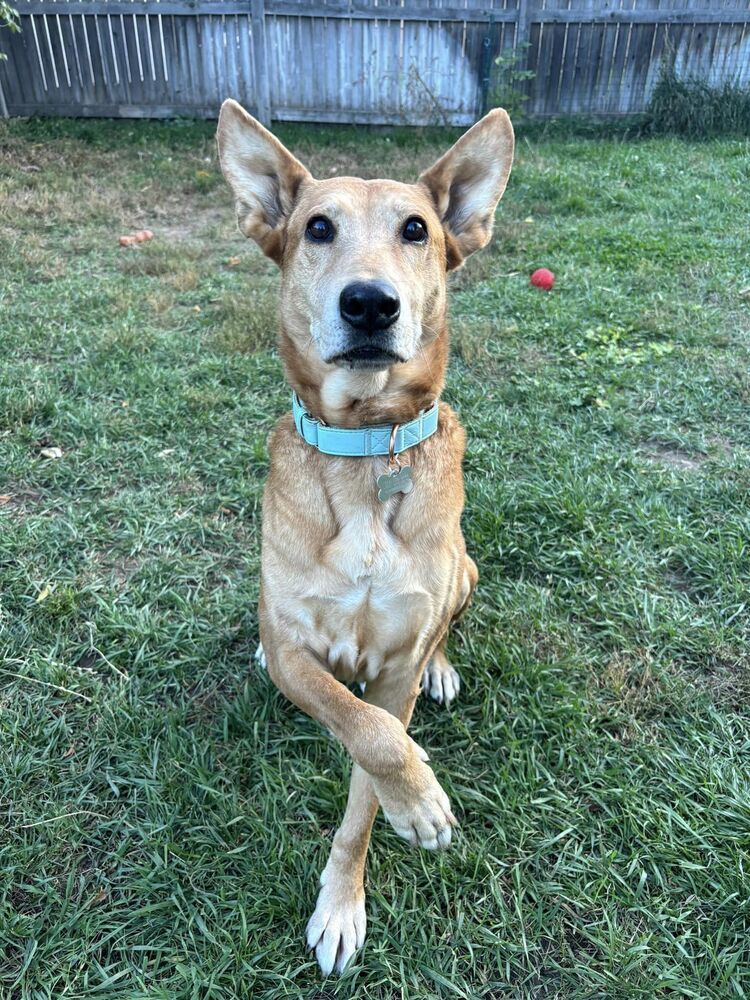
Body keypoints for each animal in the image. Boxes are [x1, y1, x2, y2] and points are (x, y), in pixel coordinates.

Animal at [214, 103, 516, 976]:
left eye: (417, 229)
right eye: (318, 227)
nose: (370, 304)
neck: (364, 449)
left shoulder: (394, 673)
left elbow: (369, 772)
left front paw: (359, 878)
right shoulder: (298, 655)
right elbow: (364, 730)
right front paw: (419, 799)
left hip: (466, 570)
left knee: (449, 619)